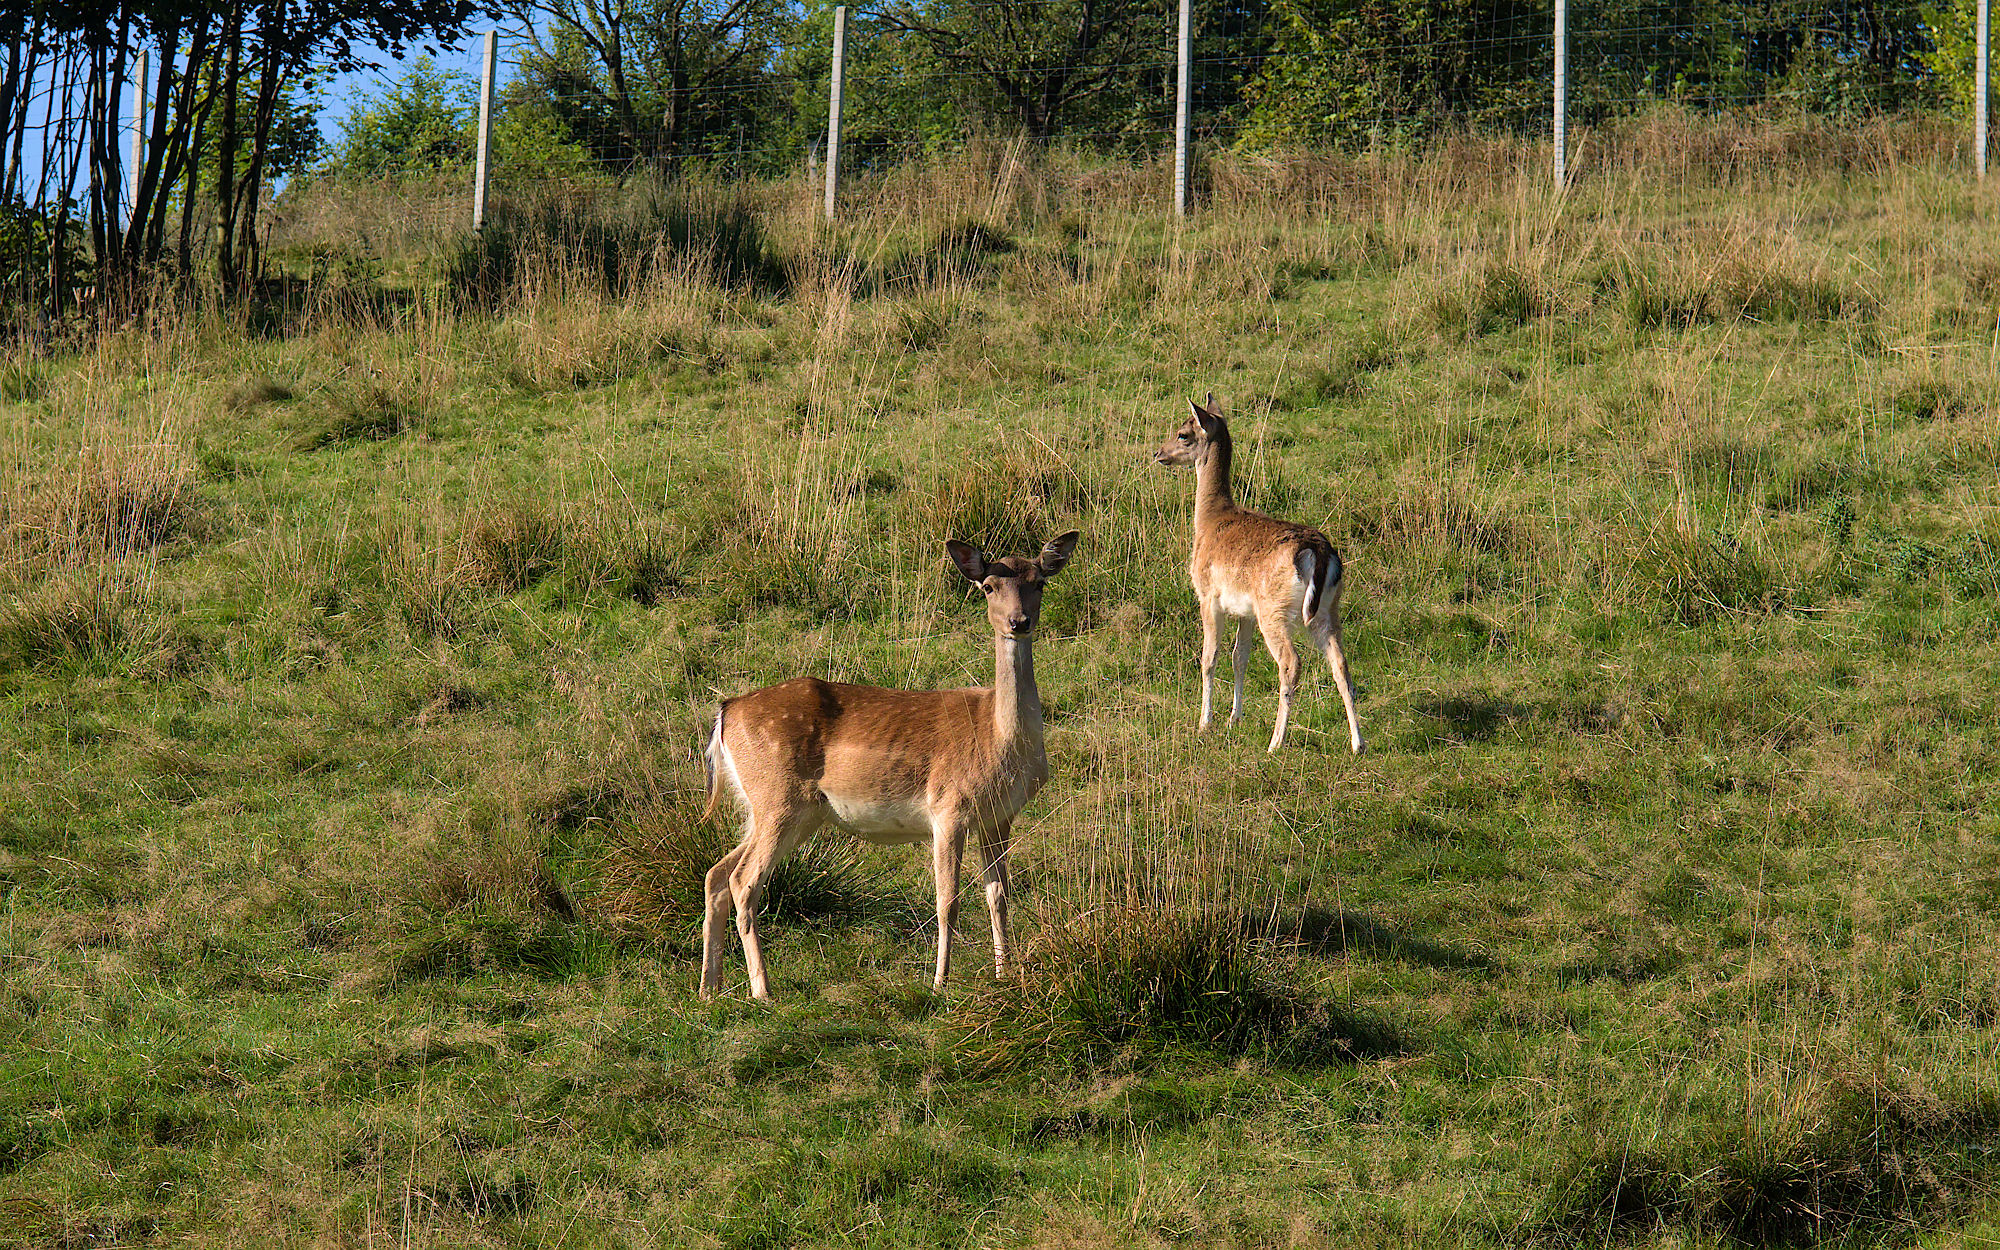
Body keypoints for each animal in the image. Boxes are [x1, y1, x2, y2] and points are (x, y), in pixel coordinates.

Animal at [700, 532, 1080, 1000]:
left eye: (1039, 582)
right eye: (989, 586)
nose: (1018, 621)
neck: (999, 740)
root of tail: (726, 712)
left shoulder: (999, 817)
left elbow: (999, 896)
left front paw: (1005, 975)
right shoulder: (949, 806)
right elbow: (948, 901)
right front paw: (939, 984)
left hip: (782, 810)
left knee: (716, 873)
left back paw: (709, 989)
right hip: (777, 797)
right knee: (743, 880)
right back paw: (763, 991)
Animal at [1152, 394, 1368, 756]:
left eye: (1183, 433)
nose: (1159, 453)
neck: (1209, 520)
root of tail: (1318, 553)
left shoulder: (1208, 596)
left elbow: (1209, 658)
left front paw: (1205, 723)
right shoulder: (1246, 611)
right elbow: (1239, 658)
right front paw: (1234, 719)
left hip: (1274, 609)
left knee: (1291, 663)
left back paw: (1275, 742)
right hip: (1327, 608)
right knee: (1341, 663)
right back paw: (1357, 743)